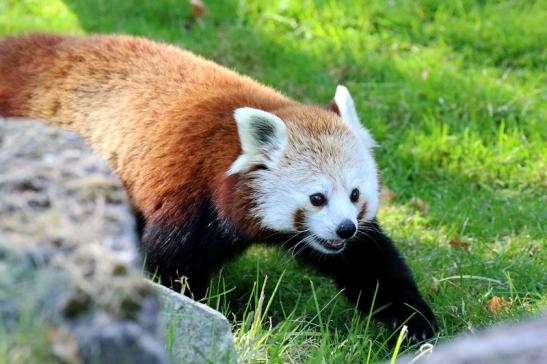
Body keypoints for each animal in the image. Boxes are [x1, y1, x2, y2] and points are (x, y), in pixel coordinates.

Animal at [0, 32, 436, 340]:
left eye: (355, 195)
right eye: (317, 198)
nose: (345, 228)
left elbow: (368, 260)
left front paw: (414, 321)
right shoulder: (190, 195)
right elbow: (170, 266)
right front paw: (195, 311)